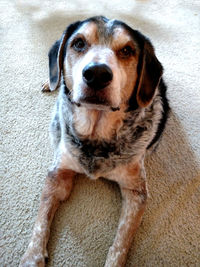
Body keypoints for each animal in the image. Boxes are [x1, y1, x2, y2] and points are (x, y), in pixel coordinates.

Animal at [20, 15, 170, 266]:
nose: (97, 73)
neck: (96, 135)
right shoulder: (57, 173)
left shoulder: (136, 191)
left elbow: (121, 240)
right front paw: (32, 257)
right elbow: (41, 219)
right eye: (79, 43)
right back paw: (50, 81)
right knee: (55, 76)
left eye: (127, 50)